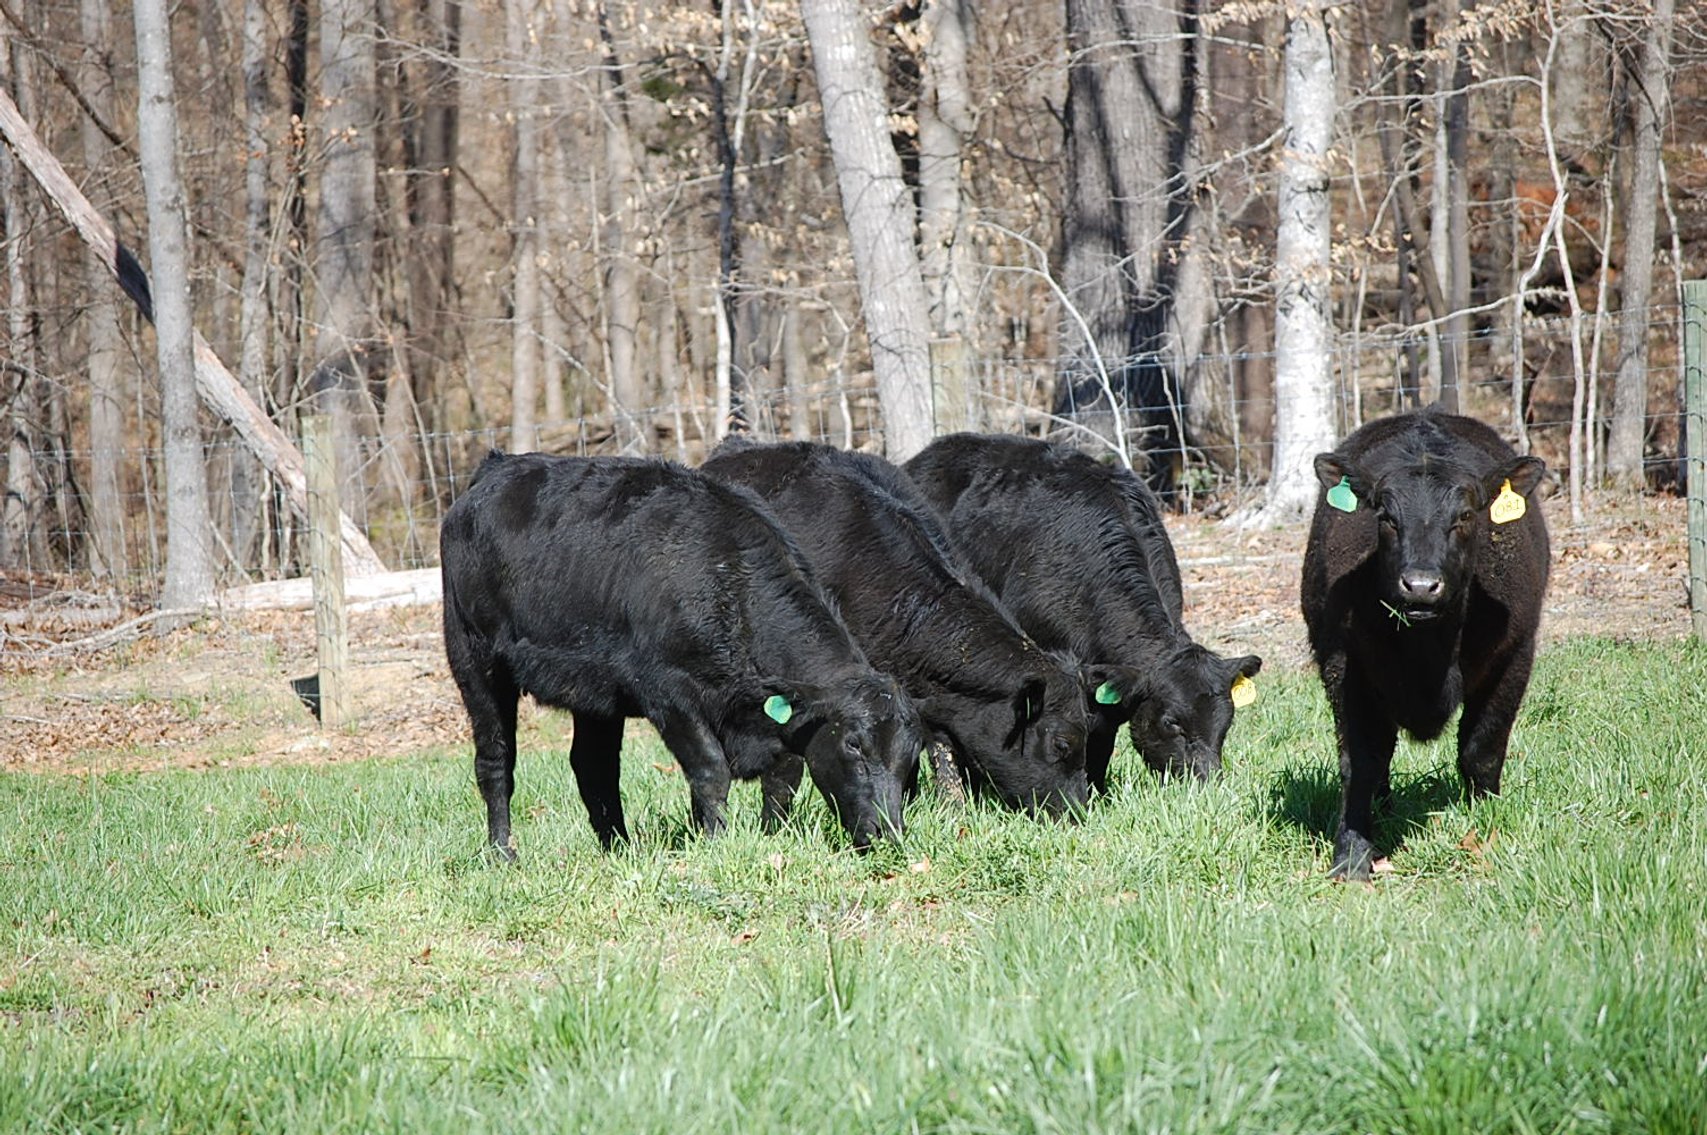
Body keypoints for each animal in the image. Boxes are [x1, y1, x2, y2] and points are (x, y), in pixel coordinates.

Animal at [439, 451, 927, 857]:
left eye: (910, 754)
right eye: (854, 744)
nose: (887, 834)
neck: (725, 581)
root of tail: (497, 467)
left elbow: (781, 777)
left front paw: (755, 835)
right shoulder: (667, 692)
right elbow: (710, 770)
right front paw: (715, 844)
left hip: (594, 691)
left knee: (593, 766)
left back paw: (619, 849)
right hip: (473, 659)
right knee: (495, 760)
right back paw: (502, 852)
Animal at [1302, 408, 1551, 880]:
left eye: (1466, 515)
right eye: (1385, 515)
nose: (1420, 585)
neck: (1428, 657)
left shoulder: (1514, 655)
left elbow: (1482, 750)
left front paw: (1485, 826)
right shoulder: (1343, 665)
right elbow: (1360, 762)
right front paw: (1352, 855)